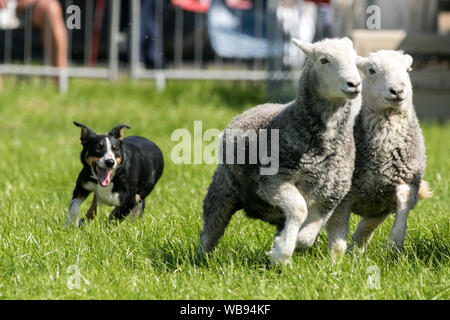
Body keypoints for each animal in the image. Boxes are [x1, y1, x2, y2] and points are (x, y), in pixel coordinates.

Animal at [197, 37, 362, 264]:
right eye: (324, 60)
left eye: (356, 60)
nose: (354, 84)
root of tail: (251, 108)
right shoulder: (274, 179)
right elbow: (299, 209)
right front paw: (282, 252)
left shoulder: (332, 194)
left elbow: (309, 234)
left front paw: (289, 245)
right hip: (223, 187)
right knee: (212, 227)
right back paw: (200, 259)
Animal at [326, 50, 430, 255]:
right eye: (371, 70)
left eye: (407, 69)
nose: (397, 90)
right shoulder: (344, 195)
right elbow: (337, 232)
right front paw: (334, 260)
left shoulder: (406, 181)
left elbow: (403, 207)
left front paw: (393, 246)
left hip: (378, 207)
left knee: (364, 229)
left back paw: (356, 252)